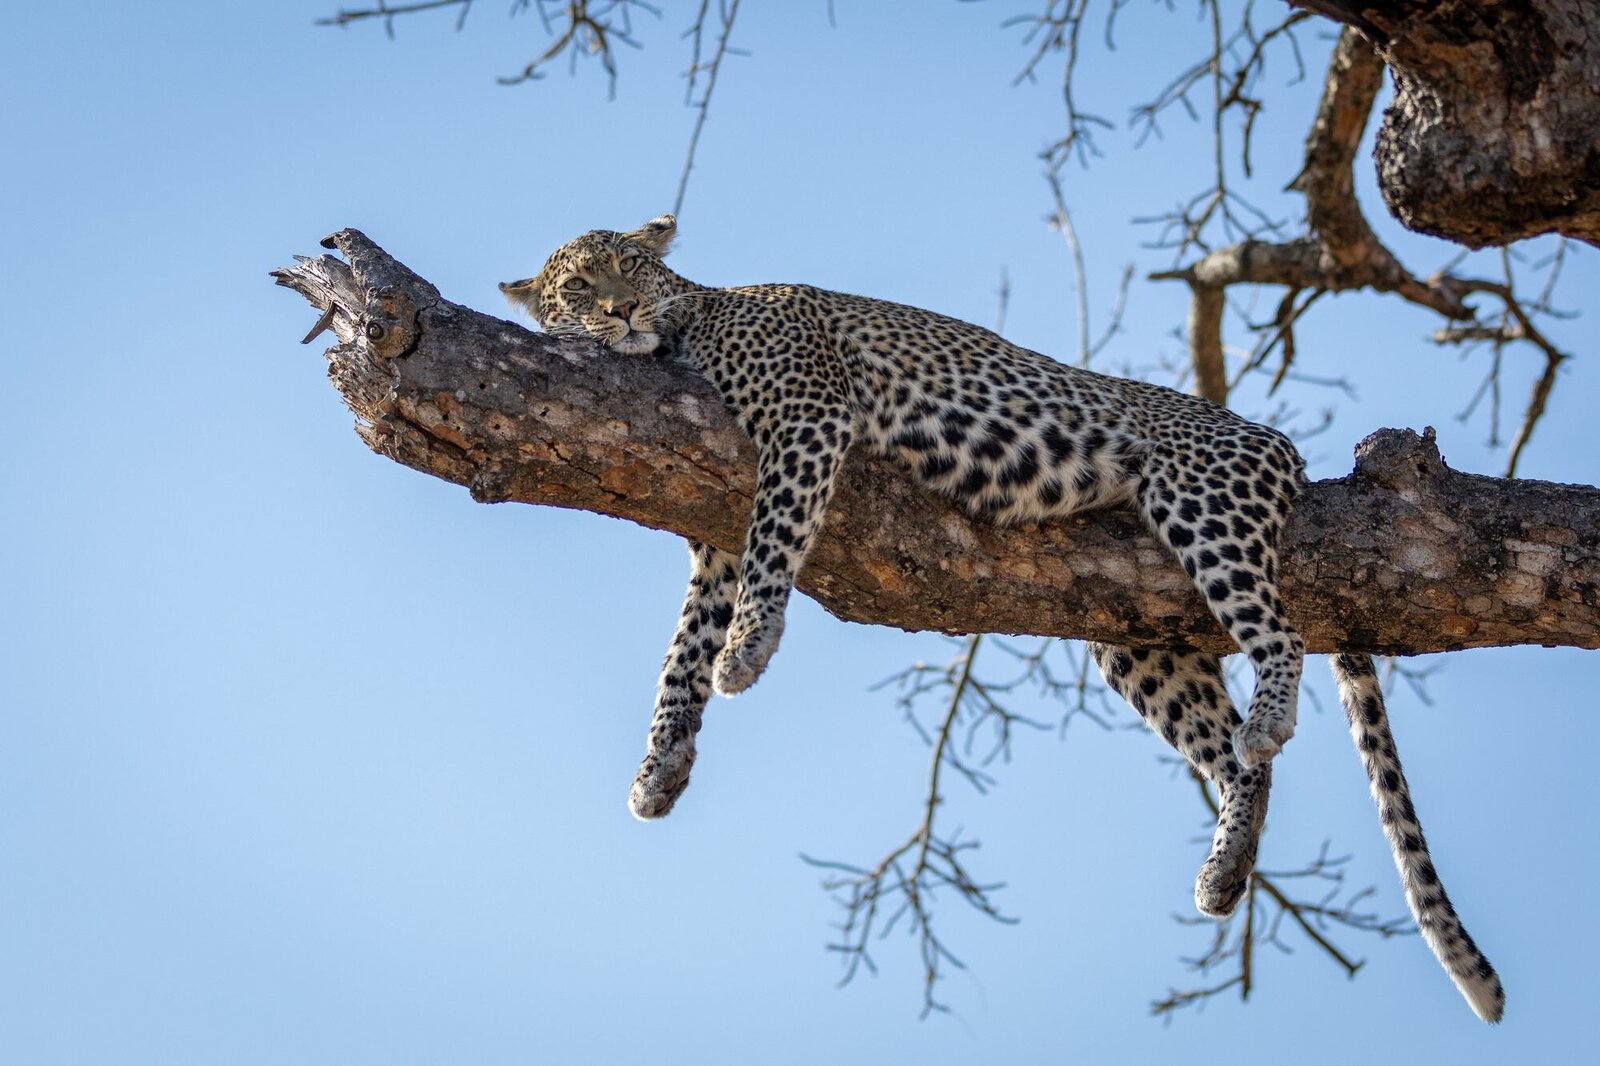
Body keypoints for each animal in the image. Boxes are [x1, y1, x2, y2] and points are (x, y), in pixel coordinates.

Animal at [500, 214, 1504, 1023]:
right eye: (579, 289)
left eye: (633, 267)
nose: (623, 311)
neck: (685, 331)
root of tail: (1281, 446)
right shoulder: (710, 529)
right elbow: (680, 650)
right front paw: (659, 769)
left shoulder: (805, 418)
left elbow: (776, 538)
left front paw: (748, 651)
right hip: (1139, 642)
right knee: (1233, 761)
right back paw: (1224, 871)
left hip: (1202, 502)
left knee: (1280, 639)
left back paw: (1269, 721)